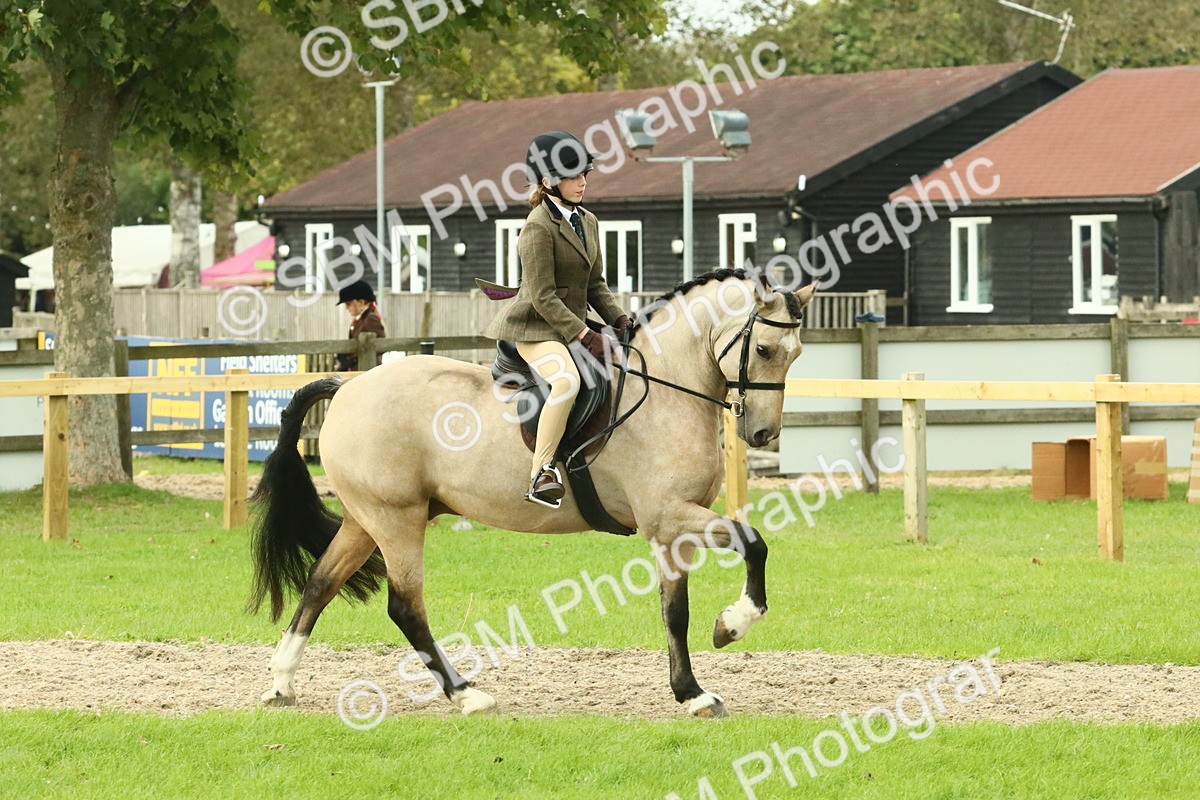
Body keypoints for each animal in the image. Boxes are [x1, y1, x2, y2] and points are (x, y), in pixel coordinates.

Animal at [250, 268, 815, 718]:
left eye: (797, 355)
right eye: (763, 349)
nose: (763, 434)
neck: (666, 390)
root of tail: (349, 386)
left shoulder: (671, 529)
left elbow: (675, 611)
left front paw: (692, 690)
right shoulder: (670, 516)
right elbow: (754, 544)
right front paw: (729, 631)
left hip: (366, 518)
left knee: (320, 583)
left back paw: (281, 682)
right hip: (397, 519)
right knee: (405, 607)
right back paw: (466, 694)